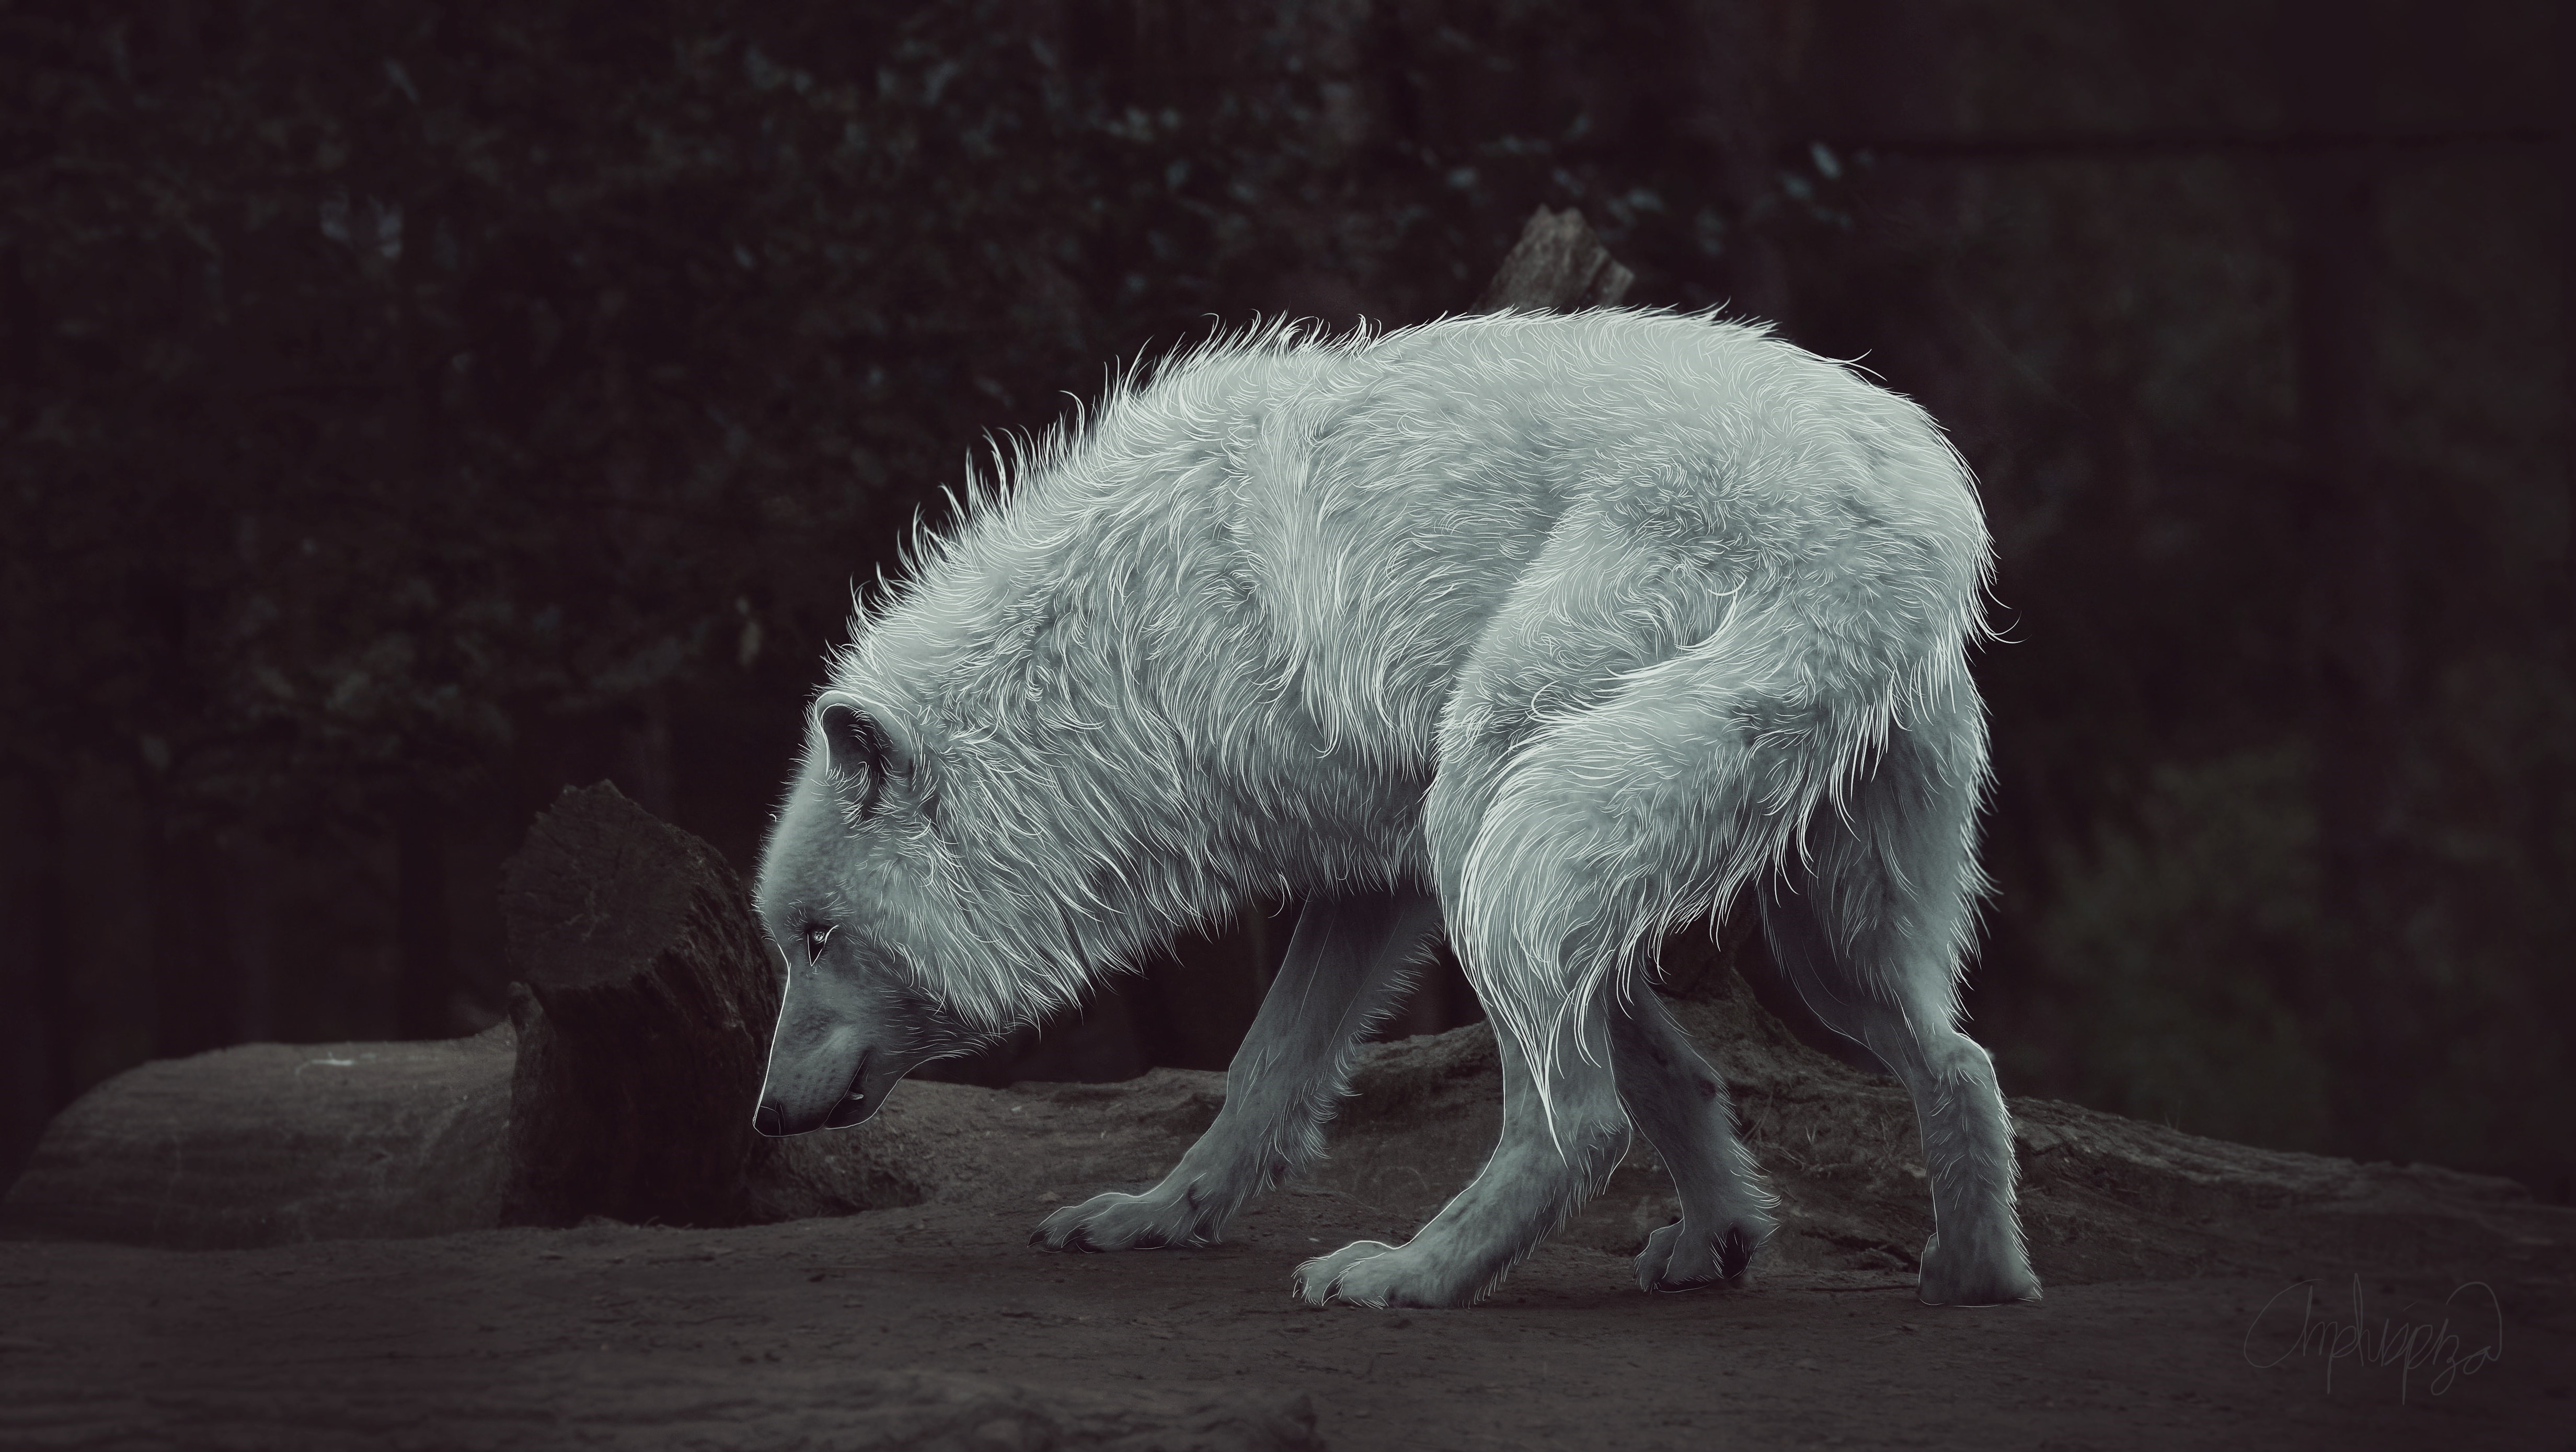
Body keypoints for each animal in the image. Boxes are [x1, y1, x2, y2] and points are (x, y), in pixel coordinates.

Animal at [749, 308, 2040, 1309]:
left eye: (816, 937)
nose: (760, 1118)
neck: (1106, 655)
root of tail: (1906, 504)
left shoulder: (1406, 868)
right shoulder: (1385, 882)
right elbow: (1275, 1070)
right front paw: (1159, 1217)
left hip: (1504, 800)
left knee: (1576, 1122)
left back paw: (1410, 1275)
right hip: (1790, 923)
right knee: (1959, 1060)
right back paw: (1974, 1277)